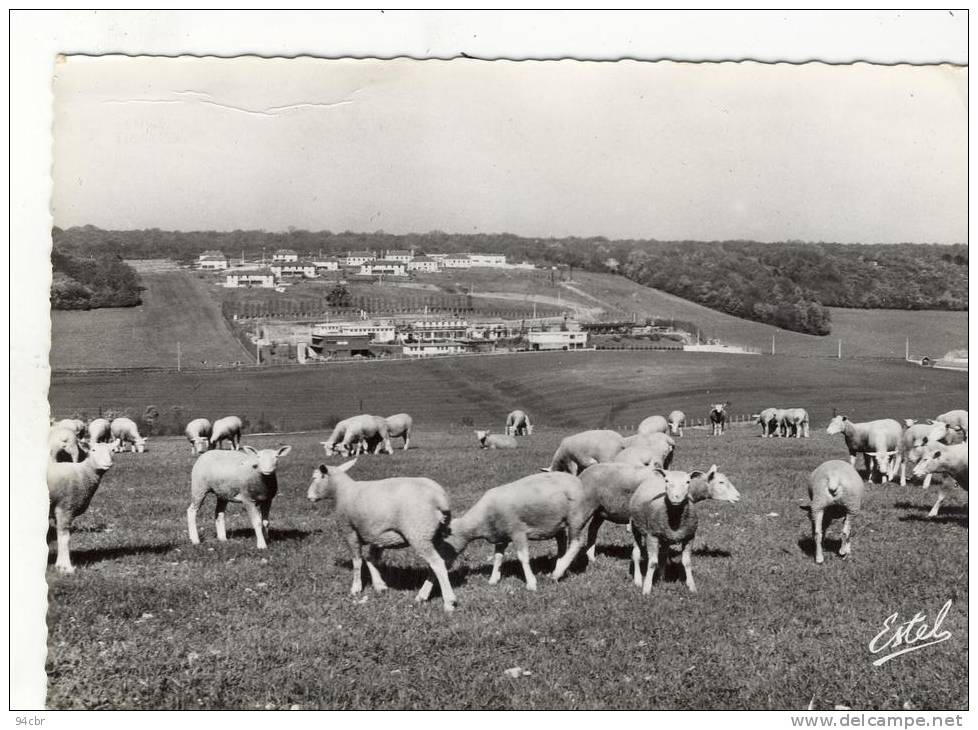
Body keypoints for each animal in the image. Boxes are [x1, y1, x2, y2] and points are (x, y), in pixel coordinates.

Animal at [46, 440, 114, 572]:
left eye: (112, 450)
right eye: (93, 450)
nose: (107, 464)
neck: (82, 474)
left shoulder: (59, 510)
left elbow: (59, 536)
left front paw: (59, 564)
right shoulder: (65, 507)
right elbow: (64, 538)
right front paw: (66, 567)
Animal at [304, 460, 458, 608]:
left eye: (315, 478)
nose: (308, 496)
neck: (342, 491)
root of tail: (439, 498)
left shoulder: (350, 531)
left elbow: (357, 561)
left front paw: (356, 588)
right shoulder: (378, 535)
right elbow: (371, 559)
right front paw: (380, 586)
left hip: (419, 535)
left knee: (437, 564)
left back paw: (448, 602)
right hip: (435, 536)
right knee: (438, 564)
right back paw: (422, 595)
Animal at [420, 466, 588, 592]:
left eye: (441, 545)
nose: (432, 567)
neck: (483, 519)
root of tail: (575, 478)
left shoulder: (518, 531)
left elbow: (522, 557)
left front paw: (531, 583)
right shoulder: (501, 537)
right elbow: (498, 557)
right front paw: (493, 579)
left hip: (576, 517)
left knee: (577, 542)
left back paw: (557, 572)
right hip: (557, 522)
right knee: (562, 543)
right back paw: (559, 566)